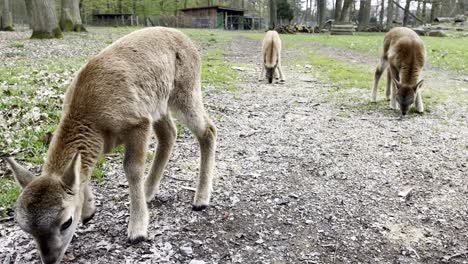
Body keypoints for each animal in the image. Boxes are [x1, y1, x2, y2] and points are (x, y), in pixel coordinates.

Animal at [5, 25, 218, 262]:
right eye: (26, 228)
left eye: (66, 222)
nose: (50, 260)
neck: (94, 123)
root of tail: (187, 40)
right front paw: (89, 211)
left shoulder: (138, 122)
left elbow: (132, 169)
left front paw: (137, 231)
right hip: (158, 103)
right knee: (169, 134)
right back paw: (149, 191)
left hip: (185, 90)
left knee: (207, 129)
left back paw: (200, 200)